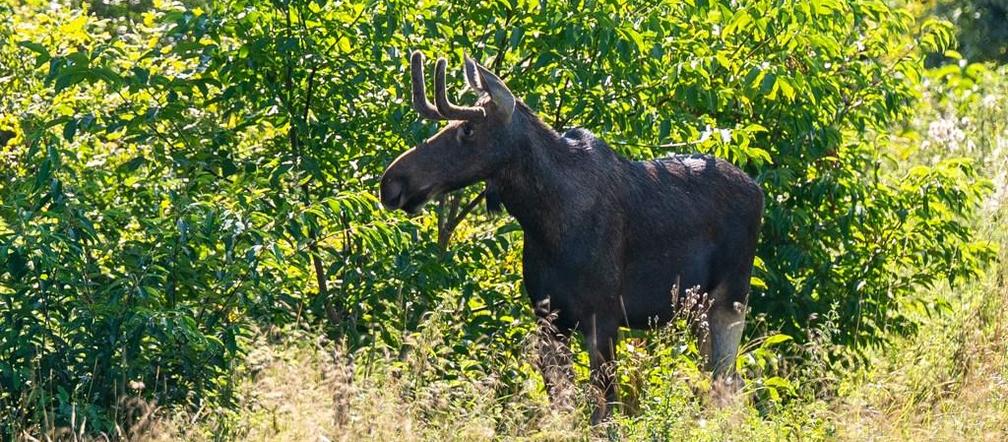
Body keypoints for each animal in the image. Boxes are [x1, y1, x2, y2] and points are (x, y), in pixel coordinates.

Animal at [379, 50, 762, 421]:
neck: (546, 221)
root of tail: (758, 190)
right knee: (718, 382)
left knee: (728, 384)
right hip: (698, 310)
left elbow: (604, 412)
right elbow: (562, 405)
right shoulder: (549, 316)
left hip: (729, 299)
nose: (391, 182)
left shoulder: (603, 316)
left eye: (469, 129)